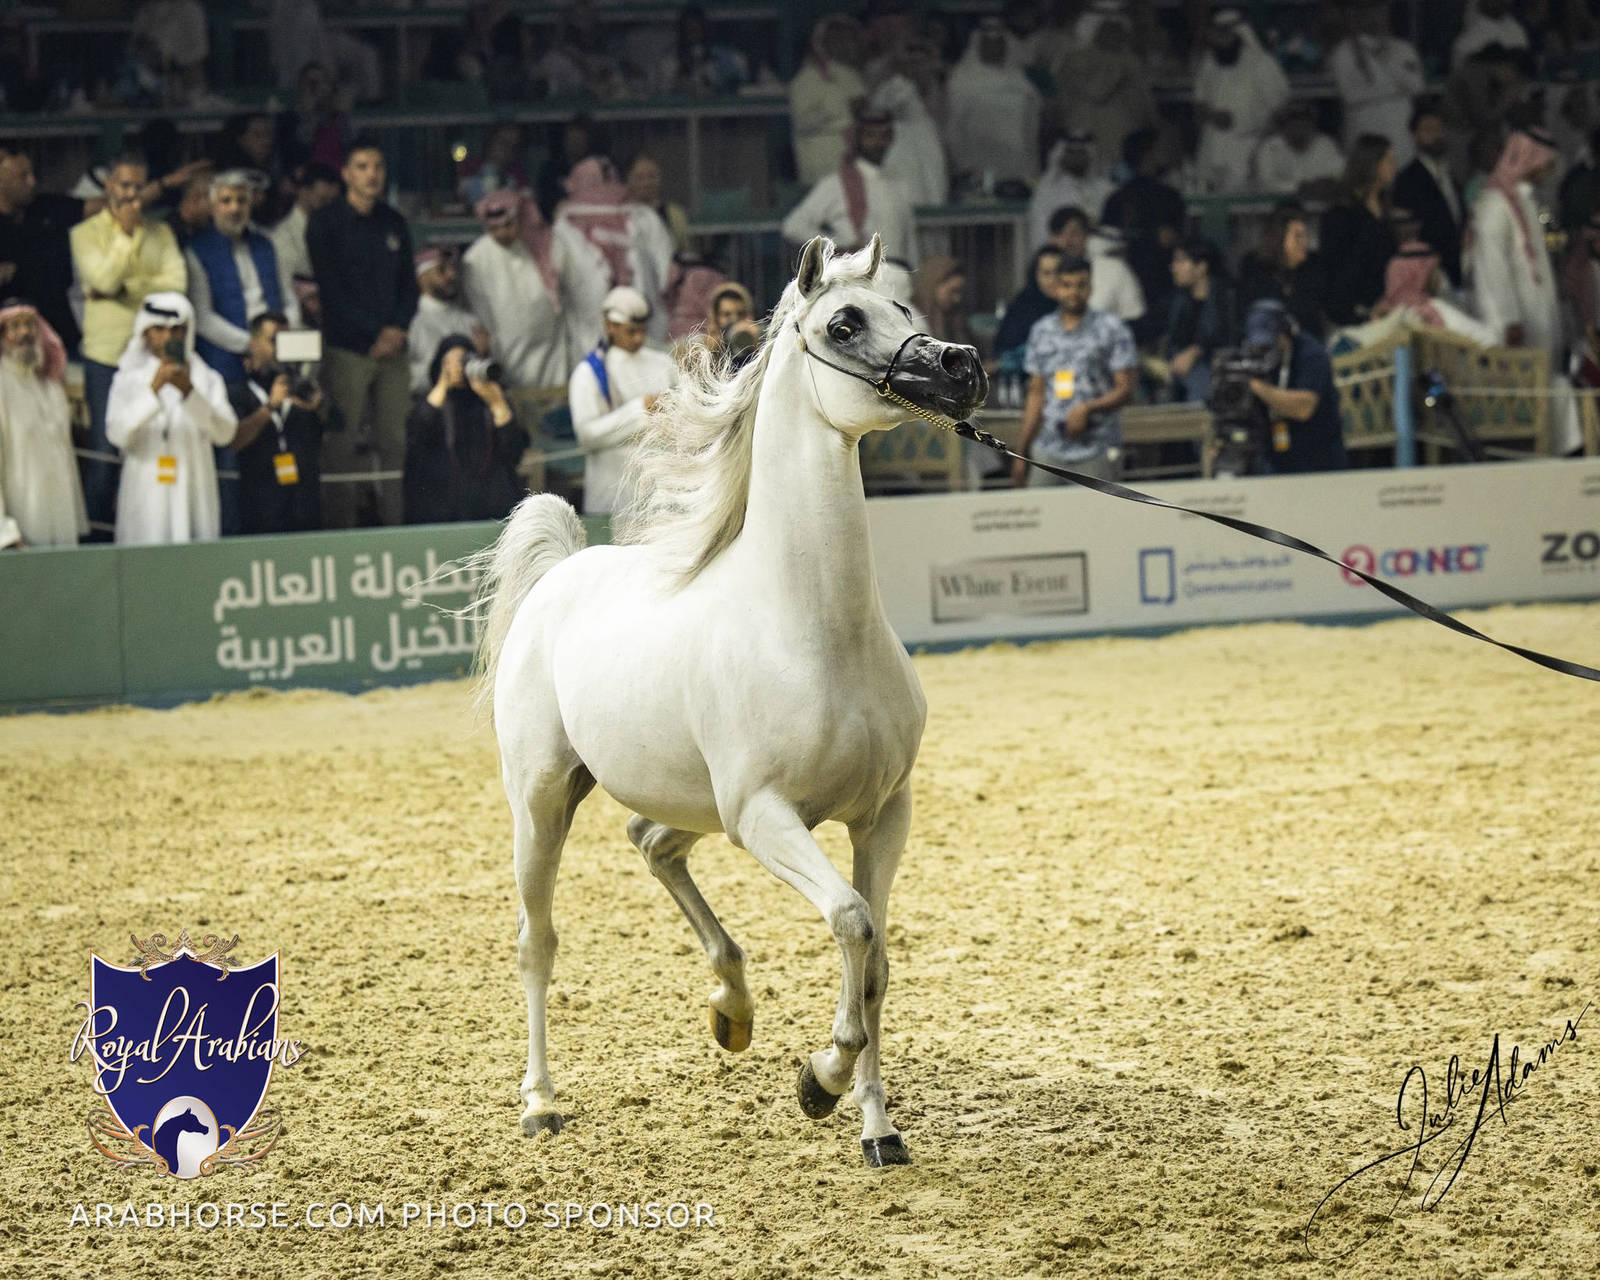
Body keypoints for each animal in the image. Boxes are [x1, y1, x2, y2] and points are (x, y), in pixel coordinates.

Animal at [469, 234, 986, 1165]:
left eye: (906, 309)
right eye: (844, 322)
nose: (962, 366)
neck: (813, 628)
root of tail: (560, 574)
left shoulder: (881, 815)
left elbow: (877, 966)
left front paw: (878, 1130)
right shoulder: (765, 817)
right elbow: (852, 921)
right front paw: (819, 1082)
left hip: (692, 805)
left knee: (651, 845)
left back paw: (732, 1012)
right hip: (545, 801)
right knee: (537, 943)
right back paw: (539, 1103)